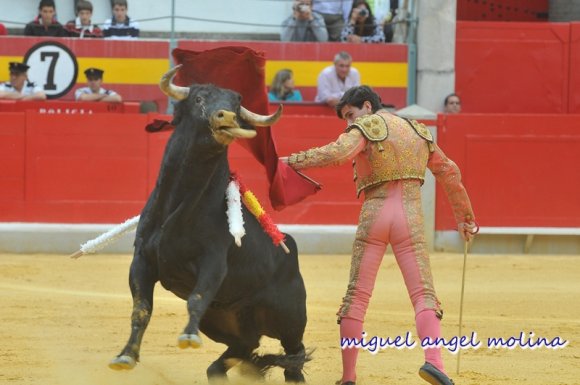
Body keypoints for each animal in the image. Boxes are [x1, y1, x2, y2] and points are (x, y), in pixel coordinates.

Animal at [108, 67, 308, 380]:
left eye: (237, 103)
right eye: (199, 99)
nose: (226, 117)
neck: (179, 204)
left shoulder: (213, 261)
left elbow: (197, 297)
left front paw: (188, 338)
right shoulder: (142, 260)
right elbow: (141, 308)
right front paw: (125, 355)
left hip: (290, 316)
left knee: (294, 354)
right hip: (222, 319)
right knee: (246, 344)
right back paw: (217, 371)